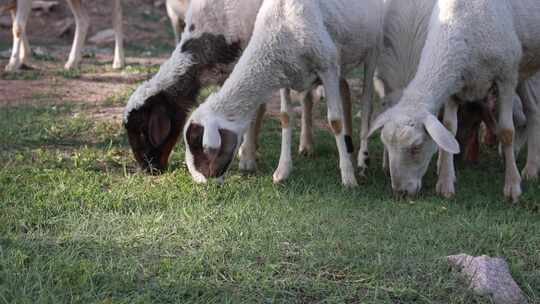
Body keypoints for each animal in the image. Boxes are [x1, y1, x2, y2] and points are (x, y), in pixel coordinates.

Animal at [185, 0, 384, 185]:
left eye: (201, 147)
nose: (201, 181)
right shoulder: (285, 74)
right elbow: (285, 116)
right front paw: (282, 171)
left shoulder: (327, 67)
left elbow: (335, 121)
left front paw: (348, 178)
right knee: (342, 91)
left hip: (372, 51)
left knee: (366, 105)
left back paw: (362, 160)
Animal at [370, 0, 540, 202]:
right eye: (386, 145)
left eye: (416, 148)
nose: (400, 192)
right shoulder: (455, 87)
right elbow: (449, 128)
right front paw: (445, 183)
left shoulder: (506, 77)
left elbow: (506, 132)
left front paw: (512, 186)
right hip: (523, 70)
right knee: (532, 109)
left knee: (531, 110)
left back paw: (530, 169)